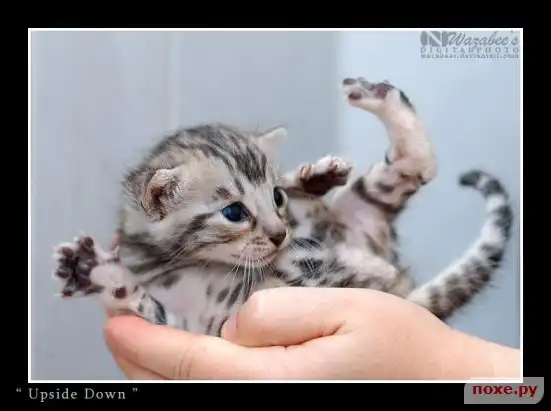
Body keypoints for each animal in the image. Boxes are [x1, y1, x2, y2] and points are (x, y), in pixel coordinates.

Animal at [51, 76, 514, 336]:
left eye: (275, 197)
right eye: (234, 213)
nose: (280, 235)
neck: (191, 262)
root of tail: (402, 288)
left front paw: (312, 178)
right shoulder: (191, 326)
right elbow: (139, 300)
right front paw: (91, 270)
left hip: (357, 215)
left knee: (416, 164)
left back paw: (372, 104)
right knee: (414, 166)